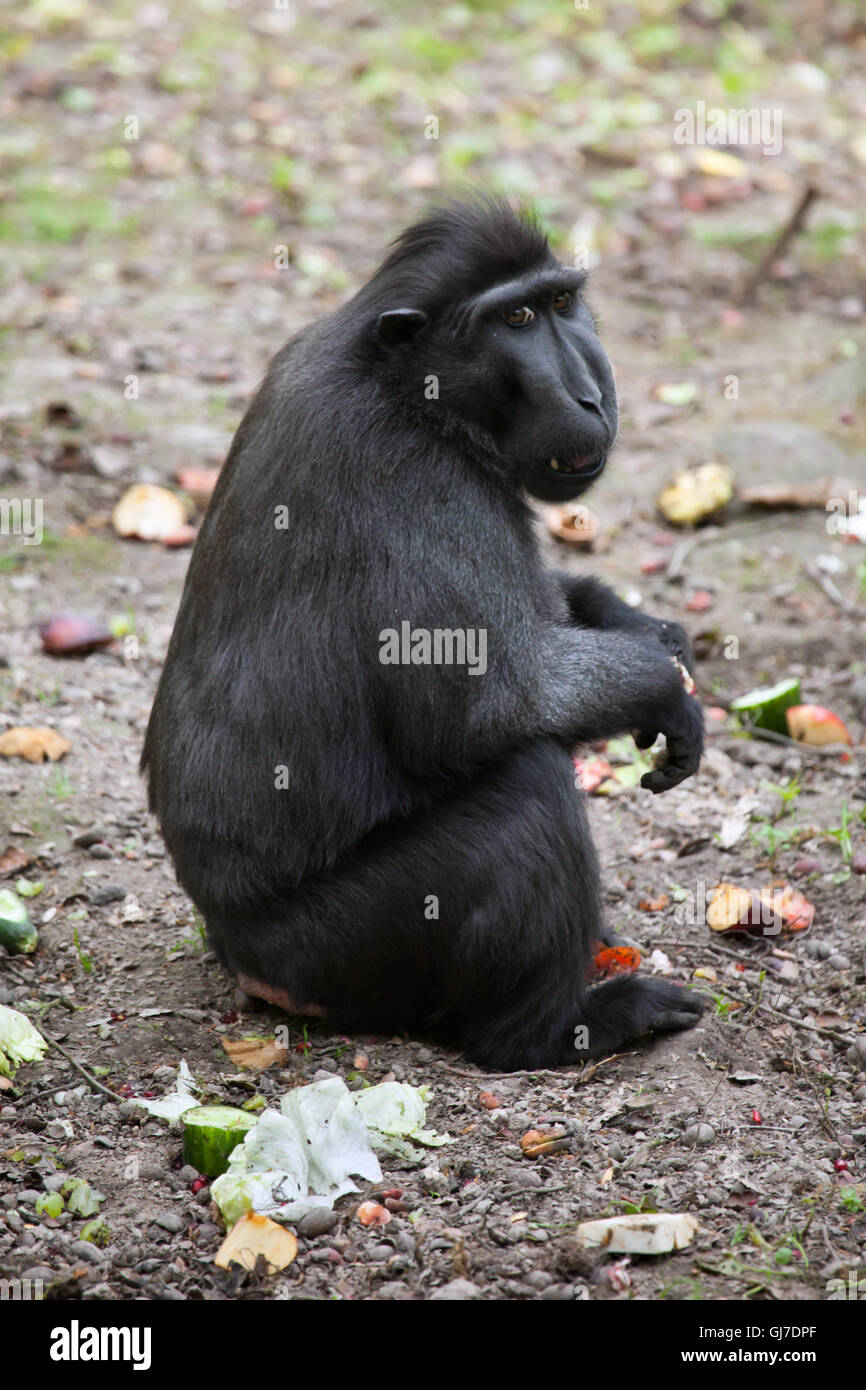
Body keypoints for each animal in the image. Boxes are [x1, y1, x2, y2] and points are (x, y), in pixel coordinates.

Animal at [142, 196, 704, 1071]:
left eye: (562, 303)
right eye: (515, 319)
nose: (590, 397)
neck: (411, 389)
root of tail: (239, 955)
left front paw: (640, 626)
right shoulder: (419, 480)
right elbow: (480, 714)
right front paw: (658, 684)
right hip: (335, 946)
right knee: (529, 787)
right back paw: (554, 1029)